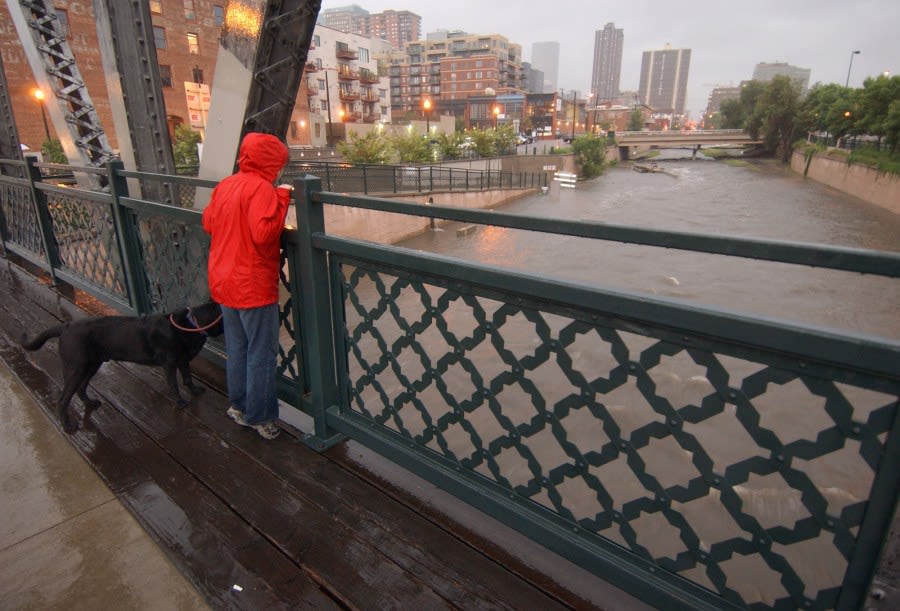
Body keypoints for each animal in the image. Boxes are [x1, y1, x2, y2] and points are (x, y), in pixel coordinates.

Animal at [20, 304, 223, 432]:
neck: (190, 323)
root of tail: (65, 327)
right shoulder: (170, 362)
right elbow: (174, 384)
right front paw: (180, 402)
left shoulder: (183, 360)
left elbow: (188, 379)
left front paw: (195, 391)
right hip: (75, 368)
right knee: (63, 399)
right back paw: (68, 426)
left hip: (91, 365)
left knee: (81, 388)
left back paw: (90, 403)